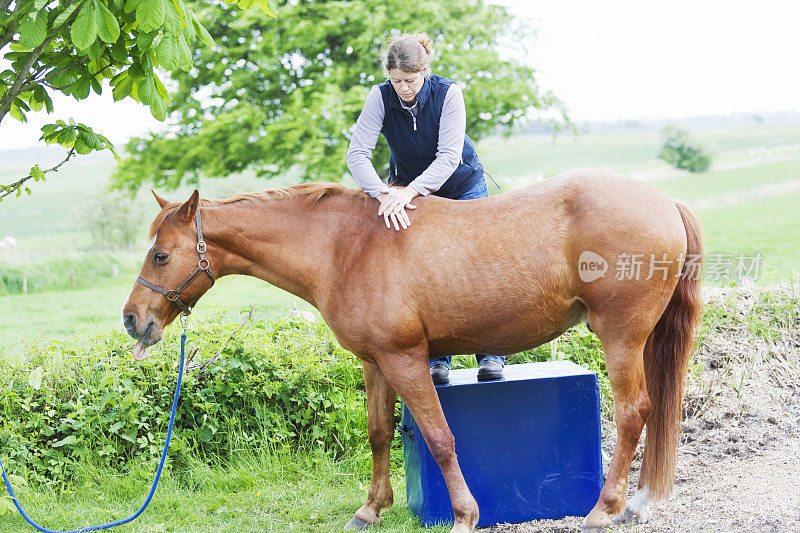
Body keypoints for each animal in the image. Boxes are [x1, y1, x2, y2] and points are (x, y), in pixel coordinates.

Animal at [122, 168, 704, 528]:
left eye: (160, 255)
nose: (132, 320)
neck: (347, 247)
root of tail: (663, 201)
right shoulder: (375, 362)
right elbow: (380, 433)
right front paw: (371, 509)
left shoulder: (405, 360)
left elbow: (440, 437)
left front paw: (465, 515)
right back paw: (638, 502)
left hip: (621, 336)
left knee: (634, 412)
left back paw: (606, 508)